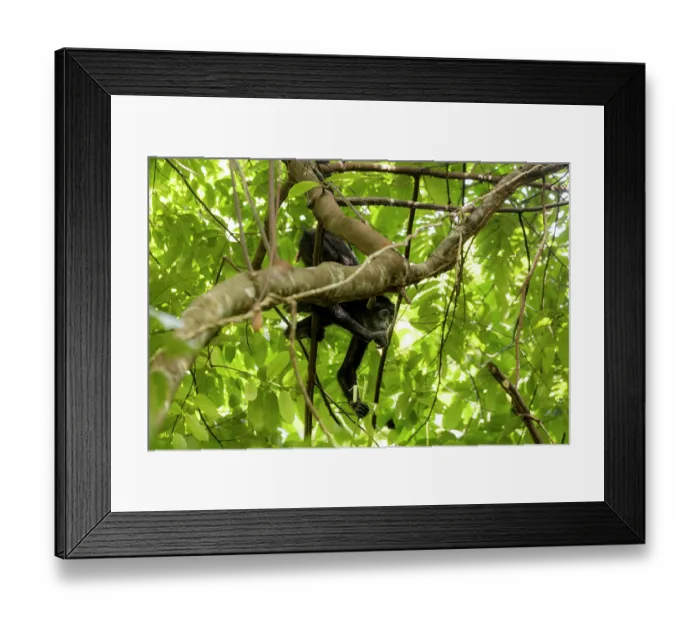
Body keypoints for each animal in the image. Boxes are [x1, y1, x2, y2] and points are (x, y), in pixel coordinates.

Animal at [286, 228, 395, 418]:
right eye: (384, 314)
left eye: (390, 319)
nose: (387, 325)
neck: (361, 311)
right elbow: (330, 307)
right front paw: (373, 335)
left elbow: (346, 369)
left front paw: (357, 405)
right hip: (314, 243)